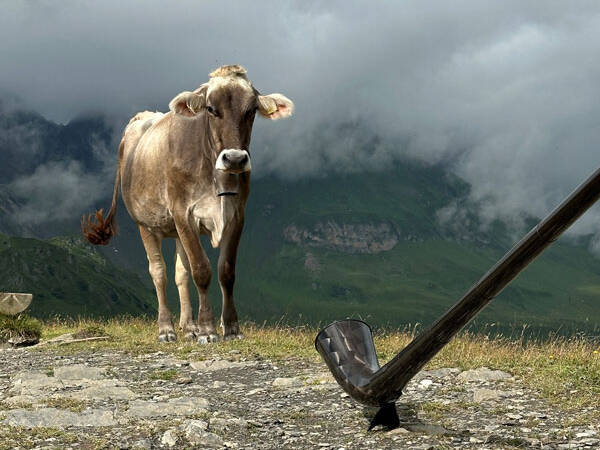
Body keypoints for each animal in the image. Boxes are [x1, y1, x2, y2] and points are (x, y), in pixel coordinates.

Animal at [81, 65, 292, 342]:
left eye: (251, 110)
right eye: (211, 109)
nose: (235, 158)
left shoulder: (237, 215)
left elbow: (226, 271)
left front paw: (230, 327)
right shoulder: (184, 213)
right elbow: (201, 270)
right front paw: (207, 329)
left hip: (177, 230)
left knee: (181, 273)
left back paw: (188, 326)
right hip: (146, 224)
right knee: (159, 272)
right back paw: (167, 328)